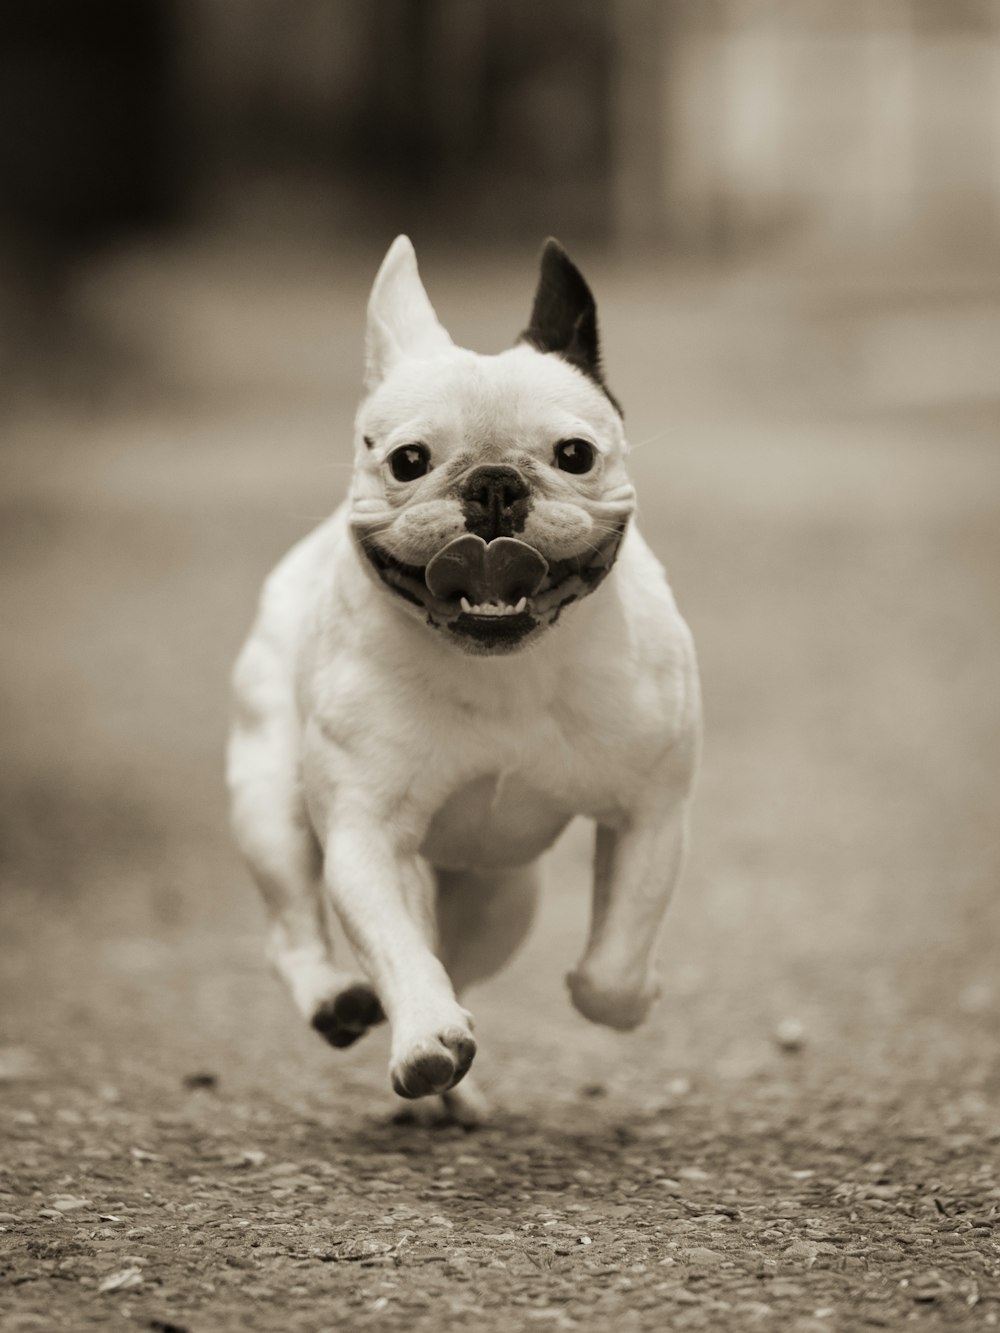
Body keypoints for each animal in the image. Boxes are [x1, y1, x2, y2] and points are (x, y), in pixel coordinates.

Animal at [228, 239, 698, 1125]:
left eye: (574, 454)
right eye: (407, 460)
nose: (493, 483)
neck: (506, 665)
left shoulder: (651, 808)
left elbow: (613, 965)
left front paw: (628, 994)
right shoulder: (367, 836)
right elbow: (398, 951)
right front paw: (424, 1039)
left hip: (501, 895)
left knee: (457, 953)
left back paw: (460, 1091)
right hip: (267, 801)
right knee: (297, 927)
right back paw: (340, 1000)